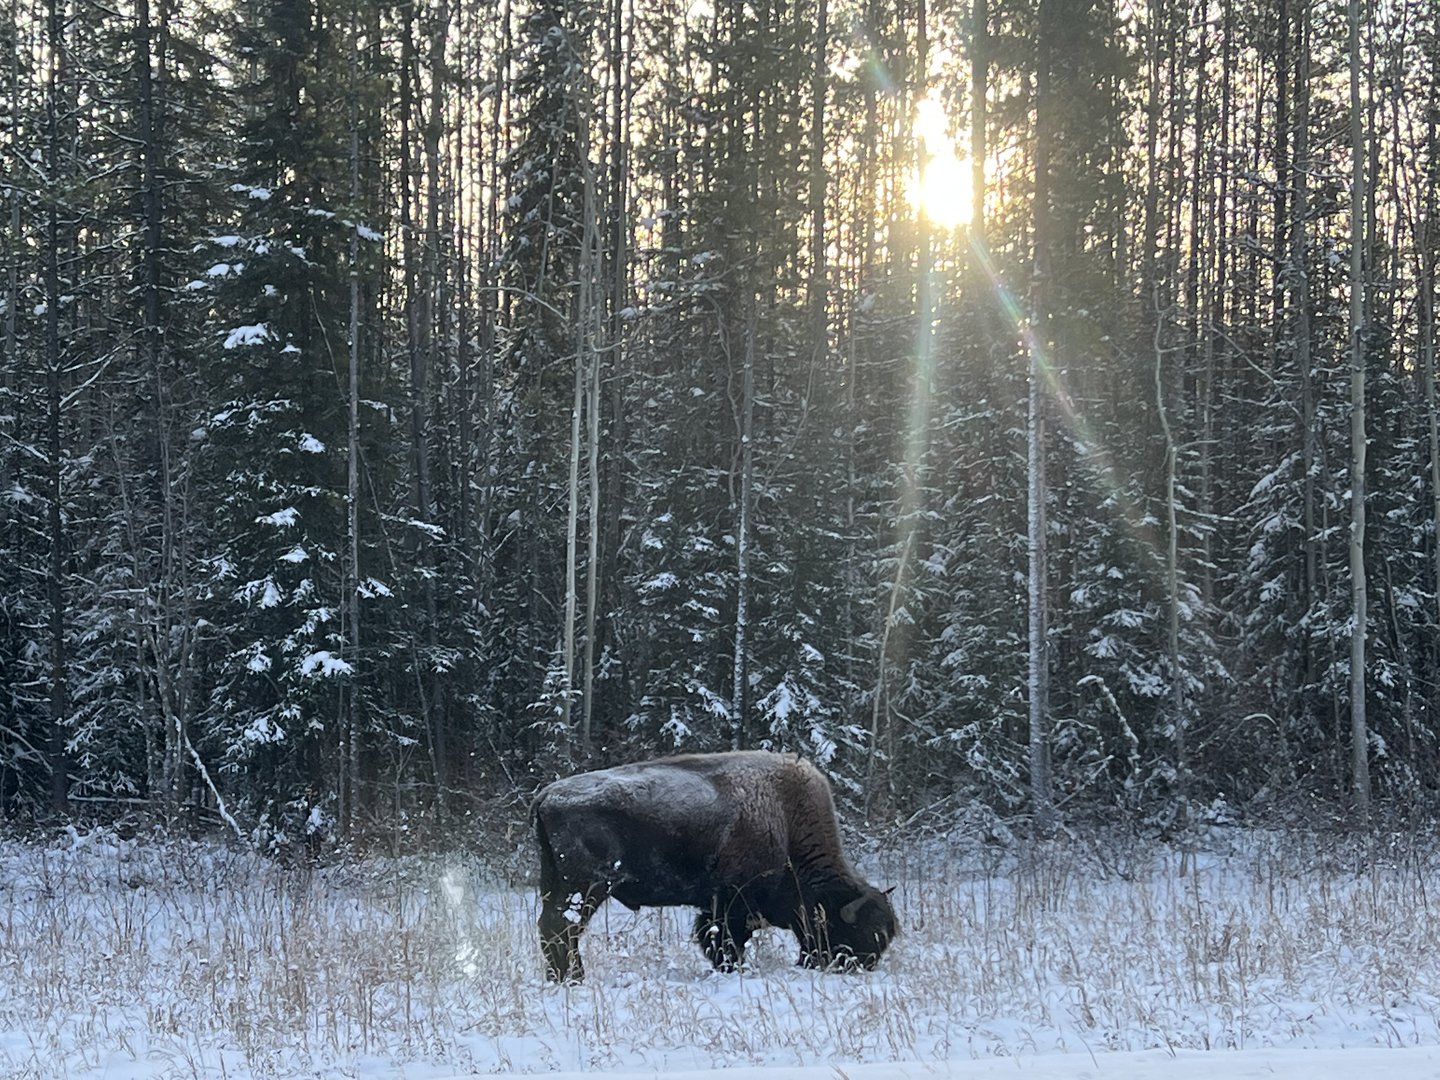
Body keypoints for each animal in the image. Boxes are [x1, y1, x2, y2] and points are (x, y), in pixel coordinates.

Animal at [532, 750, 897, 982]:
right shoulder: (732, 903)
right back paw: (573, 978)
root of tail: (546, 796)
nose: (863, 967)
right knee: (563, 928)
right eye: (859, 932)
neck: (784, 819)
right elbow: (726, 942)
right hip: (586, 887)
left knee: (550, 927)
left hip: (555, 882)